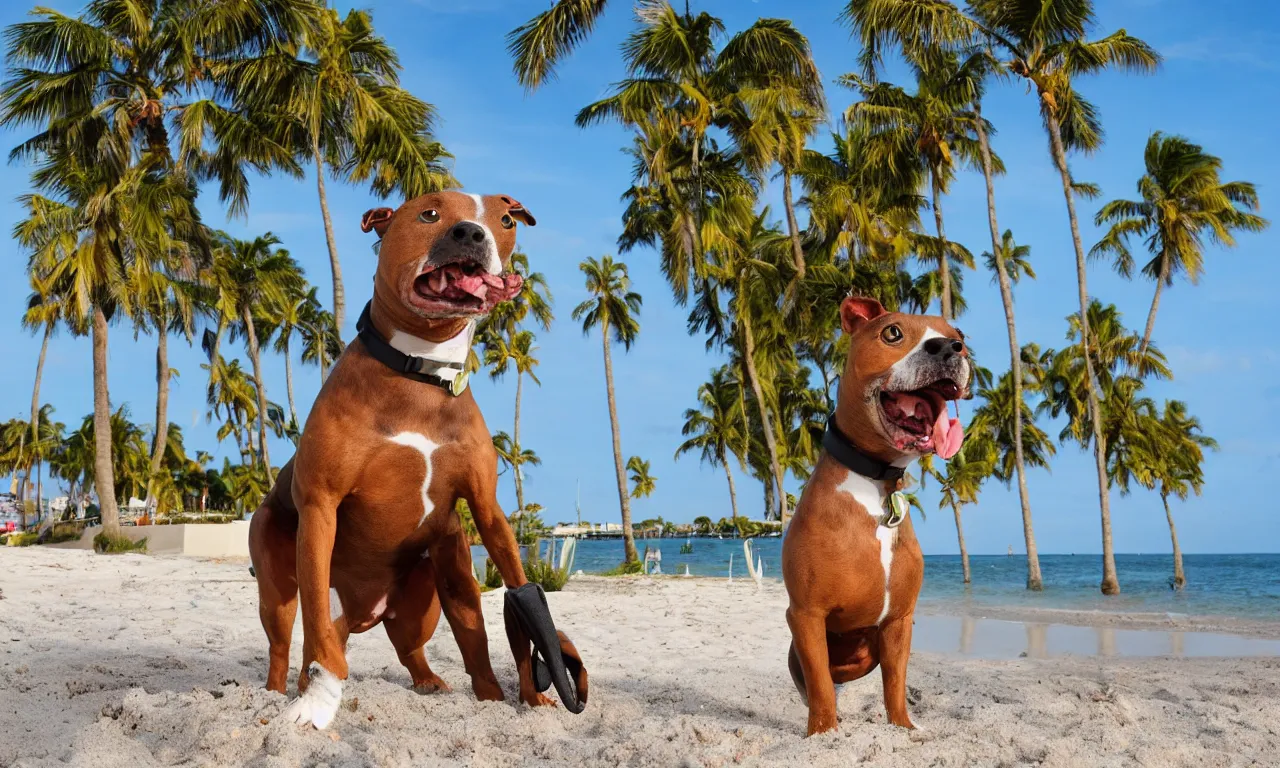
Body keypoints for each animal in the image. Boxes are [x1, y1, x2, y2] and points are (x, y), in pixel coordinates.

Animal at [248, 189, 586, 727]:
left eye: (505, 220)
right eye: (429, 212)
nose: (470, 232)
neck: (420, 373)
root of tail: (367, 609)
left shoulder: (486, 509)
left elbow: (519, 604)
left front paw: (533, 697)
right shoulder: (320, 507)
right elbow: (317, 628)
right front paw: (318, 704)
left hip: (436, 587)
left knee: (446, 644)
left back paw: (459, 690)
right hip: (276, 583)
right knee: (289, 644)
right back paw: (281, 691)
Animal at [778, 294, 967, 732]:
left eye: (960, 336)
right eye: (892, 333)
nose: (949, 348)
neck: (876, 482)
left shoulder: (899, 620)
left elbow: (895, 683)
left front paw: (905, 728)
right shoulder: (806, 616)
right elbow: (820, 687)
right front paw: (824, 734)